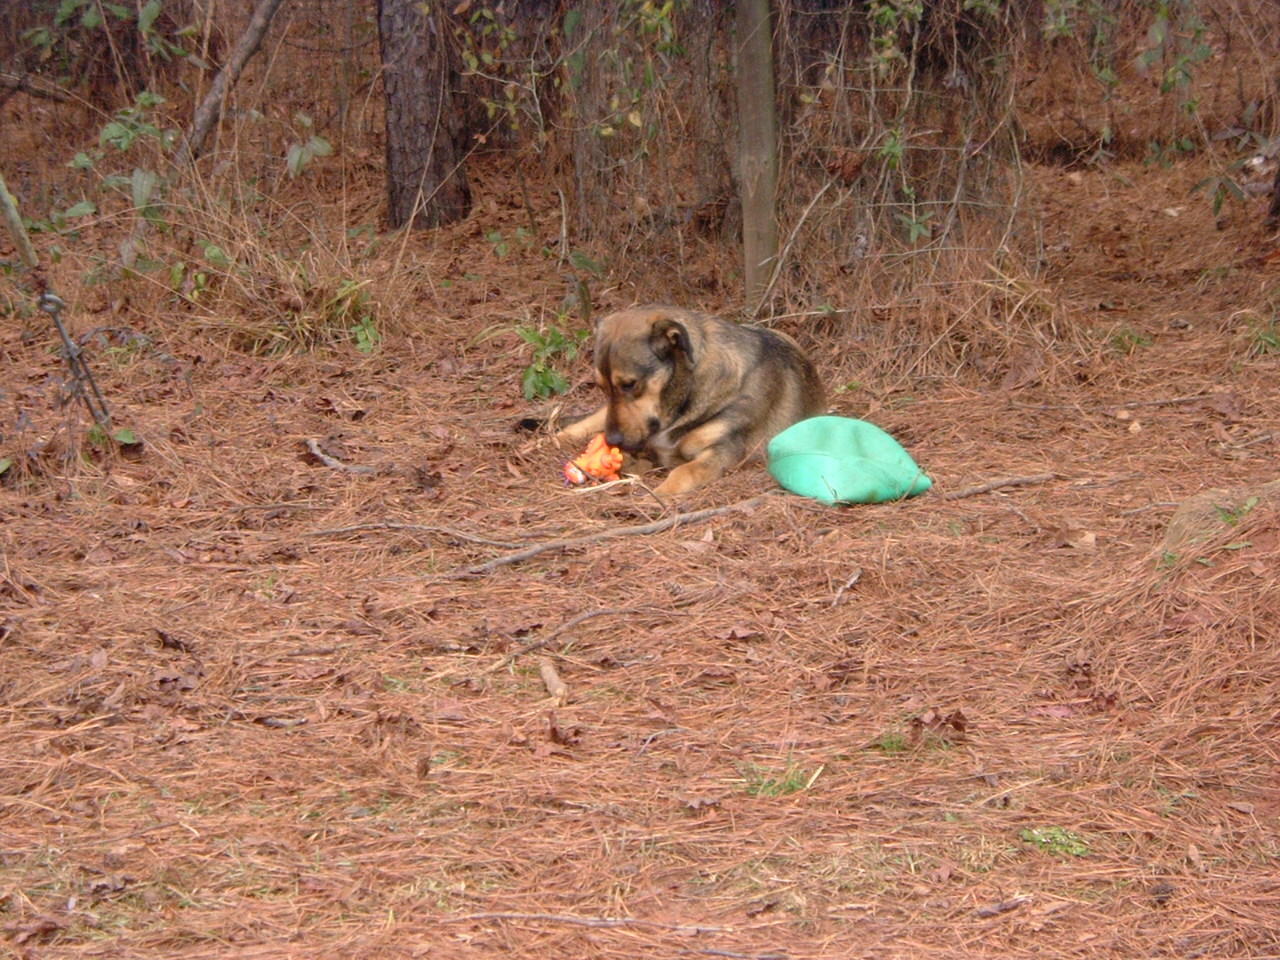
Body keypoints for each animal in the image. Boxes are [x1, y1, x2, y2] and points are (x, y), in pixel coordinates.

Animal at [555, 304, 824, 496]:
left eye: (630, 384)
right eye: (602, 387)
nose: (611, 441)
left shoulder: (724, 451)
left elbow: (684, 472)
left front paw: (659, 494)